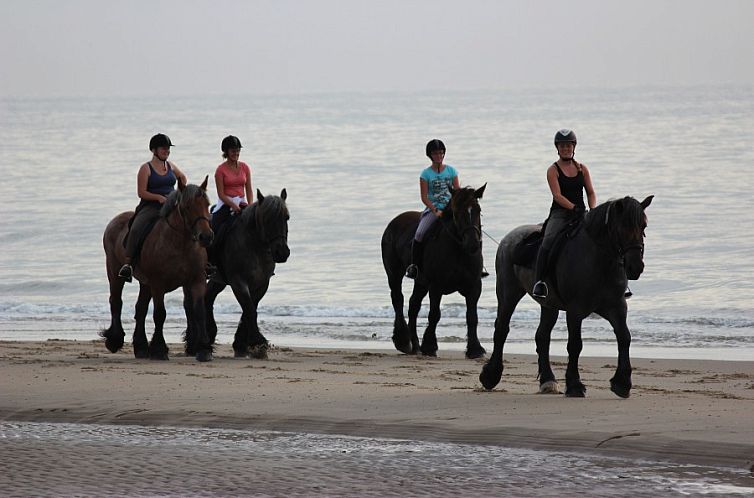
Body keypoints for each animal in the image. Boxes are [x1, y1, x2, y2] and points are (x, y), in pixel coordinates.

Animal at [100, 178, 214, 362]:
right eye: (187, 206)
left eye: (207, 204)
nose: (206, 236)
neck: (180, 243)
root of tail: (115, 220)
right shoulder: (158, 284)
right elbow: (160, 314)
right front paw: (159, 349)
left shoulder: (197, 281)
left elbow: (199, 311)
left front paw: (204, 349)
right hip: (114, 270)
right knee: (116, 301)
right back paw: (114, 340)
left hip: (145, 283)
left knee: (140, 308)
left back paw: (140, 347)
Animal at [186, 189, 290, 360]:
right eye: (267, 219)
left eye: (286, 217)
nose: (282, 252)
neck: (254, 245)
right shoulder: (238, 282)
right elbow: (249, 308)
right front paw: (258, 342)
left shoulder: (261, 284)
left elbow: (250, 309)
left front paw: (242, 343)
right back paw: (193, 343)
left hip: (218, 280)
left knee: (208, 298)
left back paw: (208, 335)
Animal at [382, 185, 488, 360]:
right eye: (457, 212)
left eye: (478, 210)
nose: (473, 244)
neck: (458, 250)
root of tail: (394, 222)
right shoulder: (436, 286)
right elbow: (434, 314)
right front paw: (430, 346)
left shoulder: (474, 286)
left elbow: (472, 317)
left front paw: (475, 349)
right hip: (394, 274)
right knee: (398, 299)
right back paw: (404, 341)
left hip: (421, 282)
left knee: (413, 305)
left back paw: (415, 346)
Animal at [482, 196, 652, 398]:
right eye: (622, 227)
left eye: (643, 226)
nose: (636, 267)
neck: (599, 261)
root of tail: (508, 238)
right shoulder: (575, 310)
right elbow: (575, 345)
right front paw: (575, 385)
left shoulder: (616, 307)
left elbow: (624, 337)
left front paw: (622, 383)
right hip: (508, 292)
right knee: (502, 329)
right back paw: (491, 376)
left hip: (548, 305)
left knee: (542, 336)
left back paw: (547, 380)